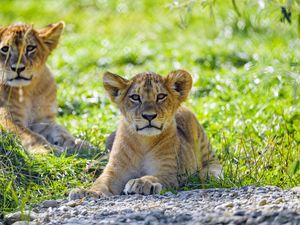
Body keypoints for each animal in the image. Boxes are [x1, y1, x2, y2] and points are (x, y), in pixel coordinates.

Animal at [69, 70, 221, 199]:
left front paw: (141, 183)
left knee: (213, 162)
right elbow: (101, 182)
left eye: (161, 96)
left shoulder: (168, 171)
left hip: (201, 141)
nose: (149, 116)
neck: (143, 141)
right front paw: (87, 192)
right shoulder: (115, 170)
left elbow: (154, 177)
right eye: (135, 97)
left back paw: (208, 175)